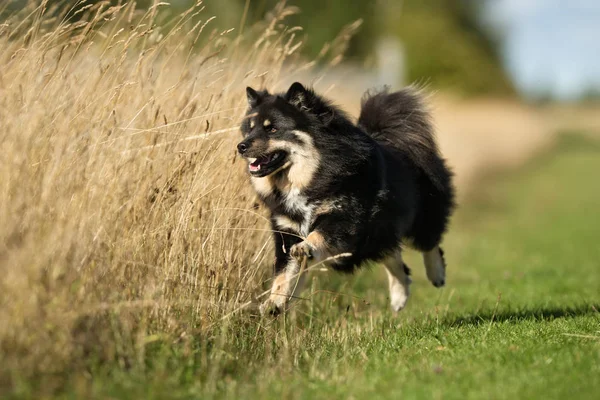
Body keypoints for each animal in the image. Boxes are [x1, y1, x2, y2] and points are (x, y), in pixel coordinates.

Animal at [237, 83, 452, 314]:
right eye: (249, 129)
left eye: (272, 129)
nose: (241, 146)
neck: (313, 173)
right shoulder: (287, 232)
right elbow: (284, 273)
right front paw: (274, 302)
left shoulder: (344, 218)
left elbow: (318, 235)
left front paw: (306, 246)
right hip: (379, 234)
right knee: (394, 257)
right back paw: (399, 296)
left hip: (418, 220)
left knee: (430, 244)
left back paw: (437, 274)